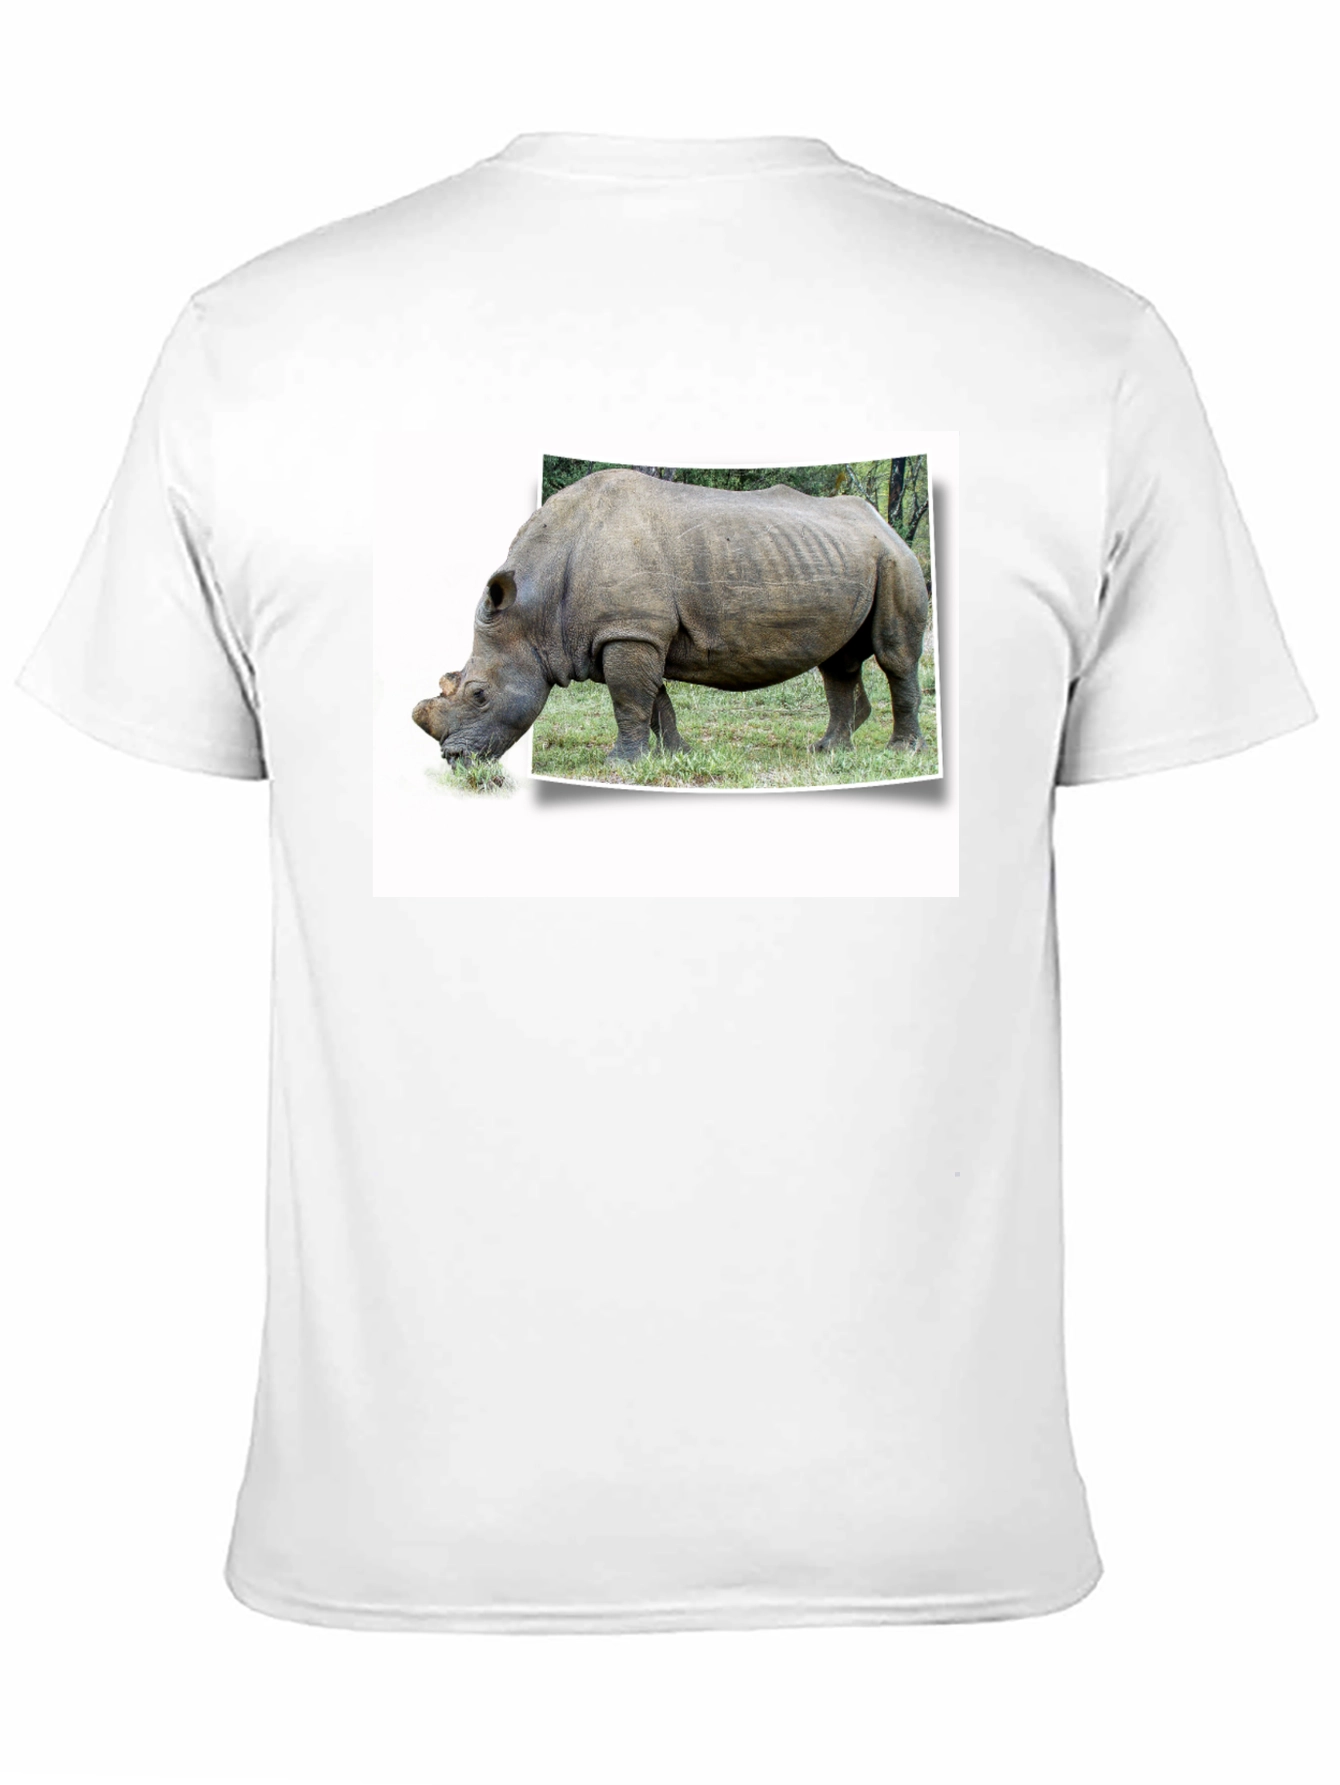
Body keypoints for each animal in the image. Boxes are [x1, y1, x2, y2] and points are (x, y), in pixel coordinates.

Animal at [412, 467, 930, 766]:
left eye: (479, 695)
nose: (453, 759)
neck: (534, 608)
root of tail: (882, 523)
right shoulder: (636, 632)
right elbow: (654, 700)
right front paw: (673, 755)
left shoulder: (629, 631)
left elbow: (629, 700)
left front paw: (619, 765)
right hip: (850, 556)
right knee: (838, 662)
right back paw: (828, 751)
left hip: (896, 561)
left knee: (894, 656)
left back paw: (900, 752)